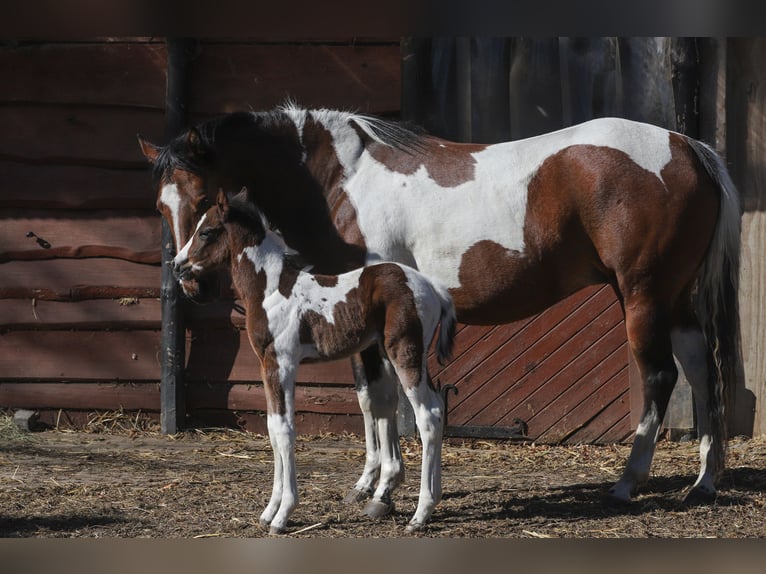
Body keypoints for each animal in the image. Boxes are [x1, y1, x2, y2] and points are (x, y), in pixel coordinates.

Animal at [173, 188, 456, 533]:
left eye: (206, 232)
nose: (178, 265)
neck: (271, 289)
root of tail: (433, 288)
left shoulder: (282, 363)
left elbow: (284, 430)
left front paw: (283, 514)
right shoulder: (267, 366)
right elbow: (272, 429)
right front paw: (269, 511)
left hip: (405, 352)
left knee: (428, 415)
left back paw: (420, 515)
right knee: (437, 408)